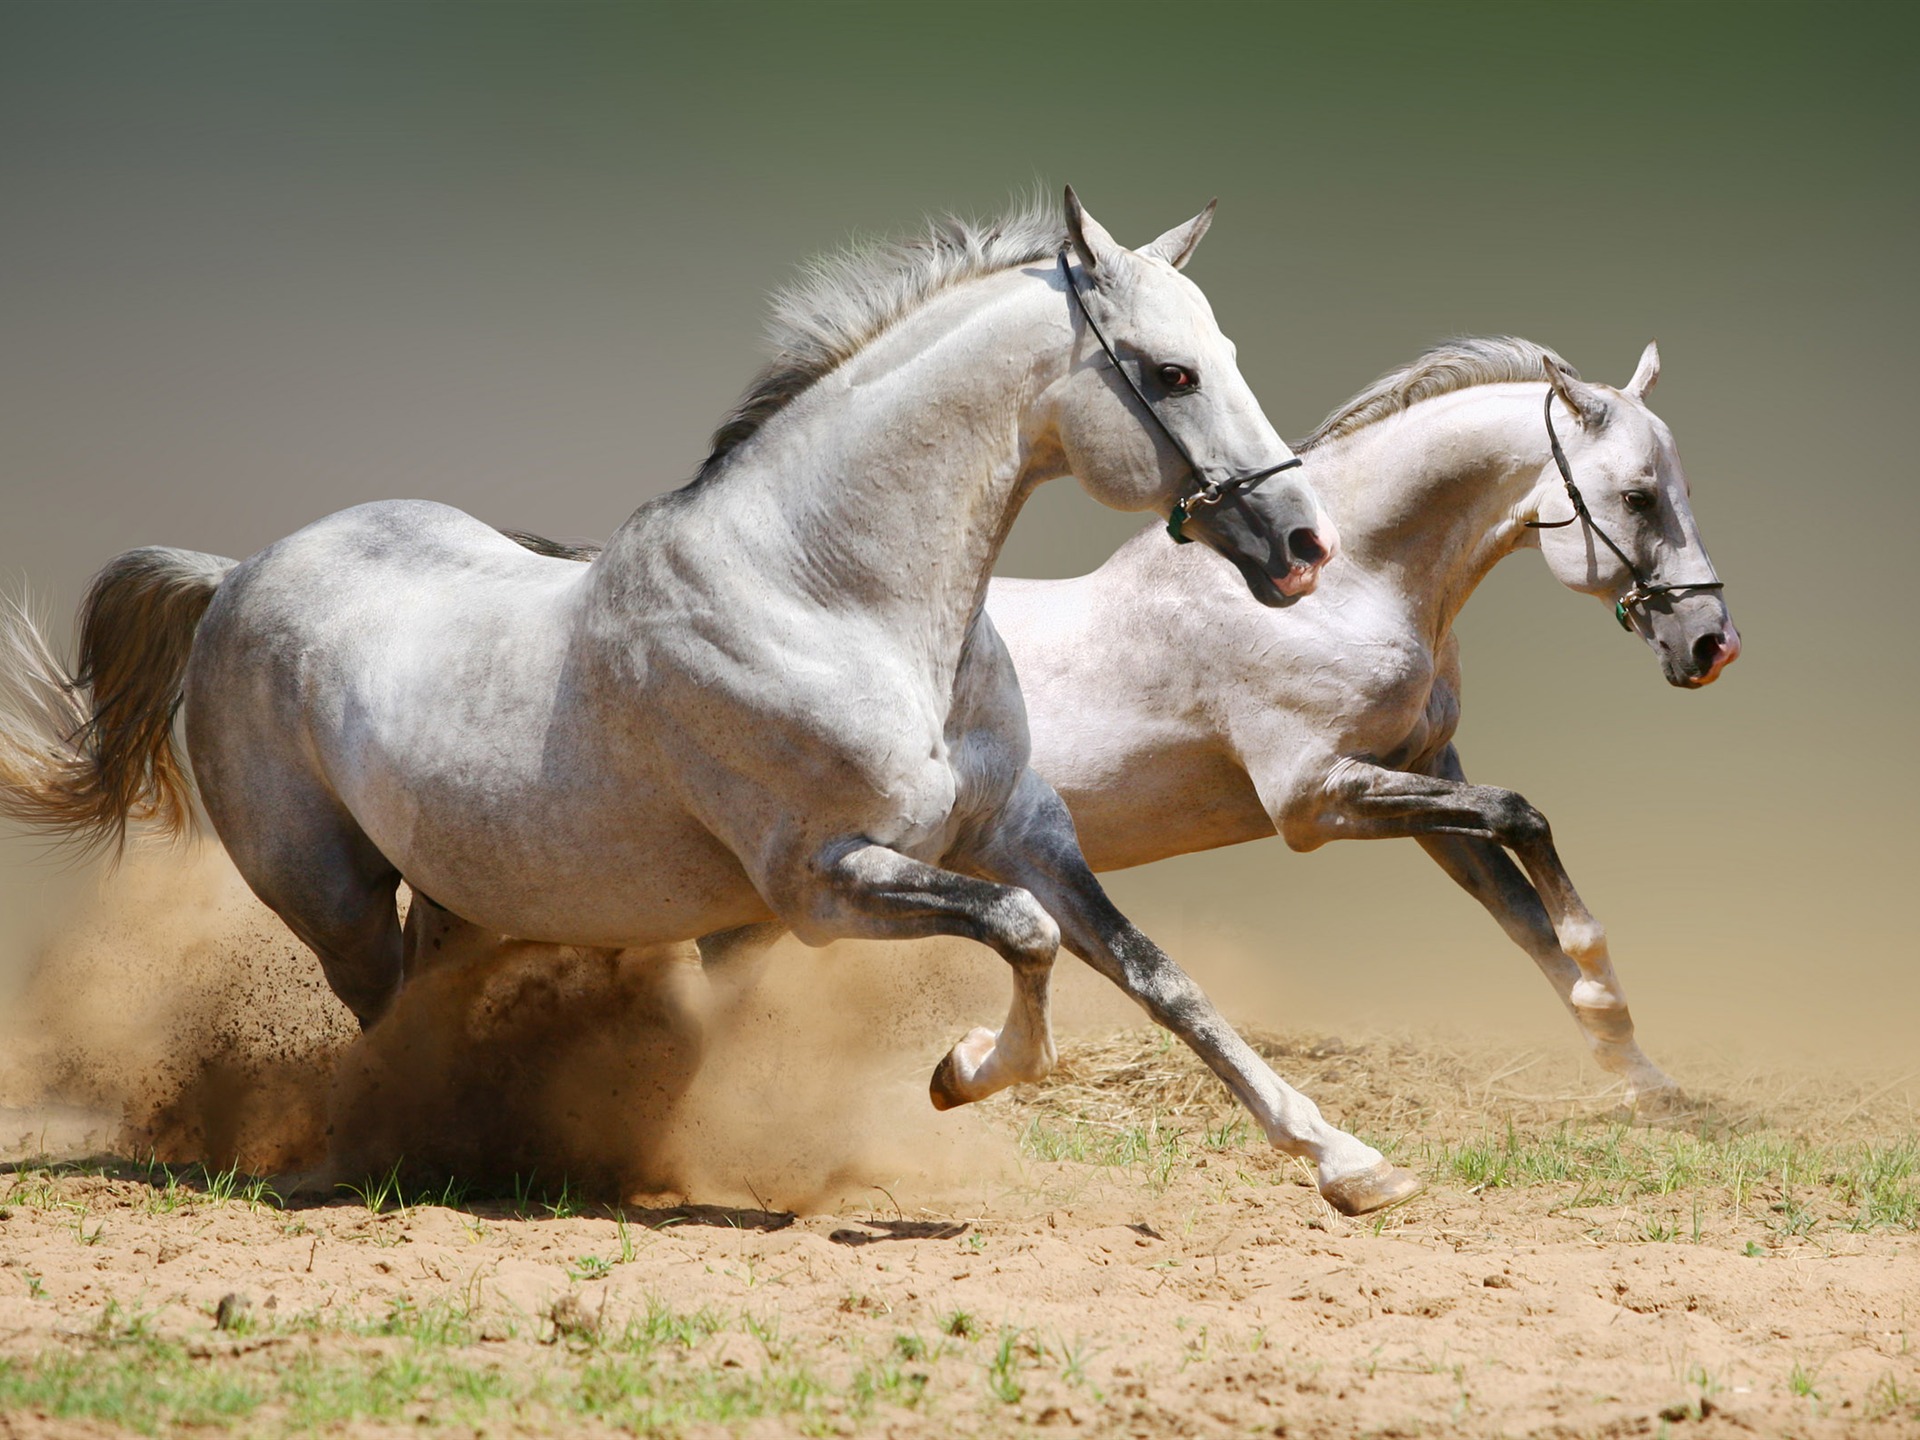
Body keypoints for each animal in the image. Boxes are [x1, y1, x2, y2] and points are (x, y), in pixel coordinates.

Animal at [0, 192, 1428, 1221]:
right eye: (1171, 374)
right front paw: (962, 1074)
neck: (831, 595)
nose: (1302, 546)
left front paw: (1351, 1164)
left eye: (1224, 354)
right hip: (331, 895)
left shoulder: (1024, 834)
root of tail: (236, 574)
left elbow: (1157, 977)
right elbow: (1023, 943)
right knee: (380, 1018)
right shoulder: (824, 883)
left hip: (465, 893)